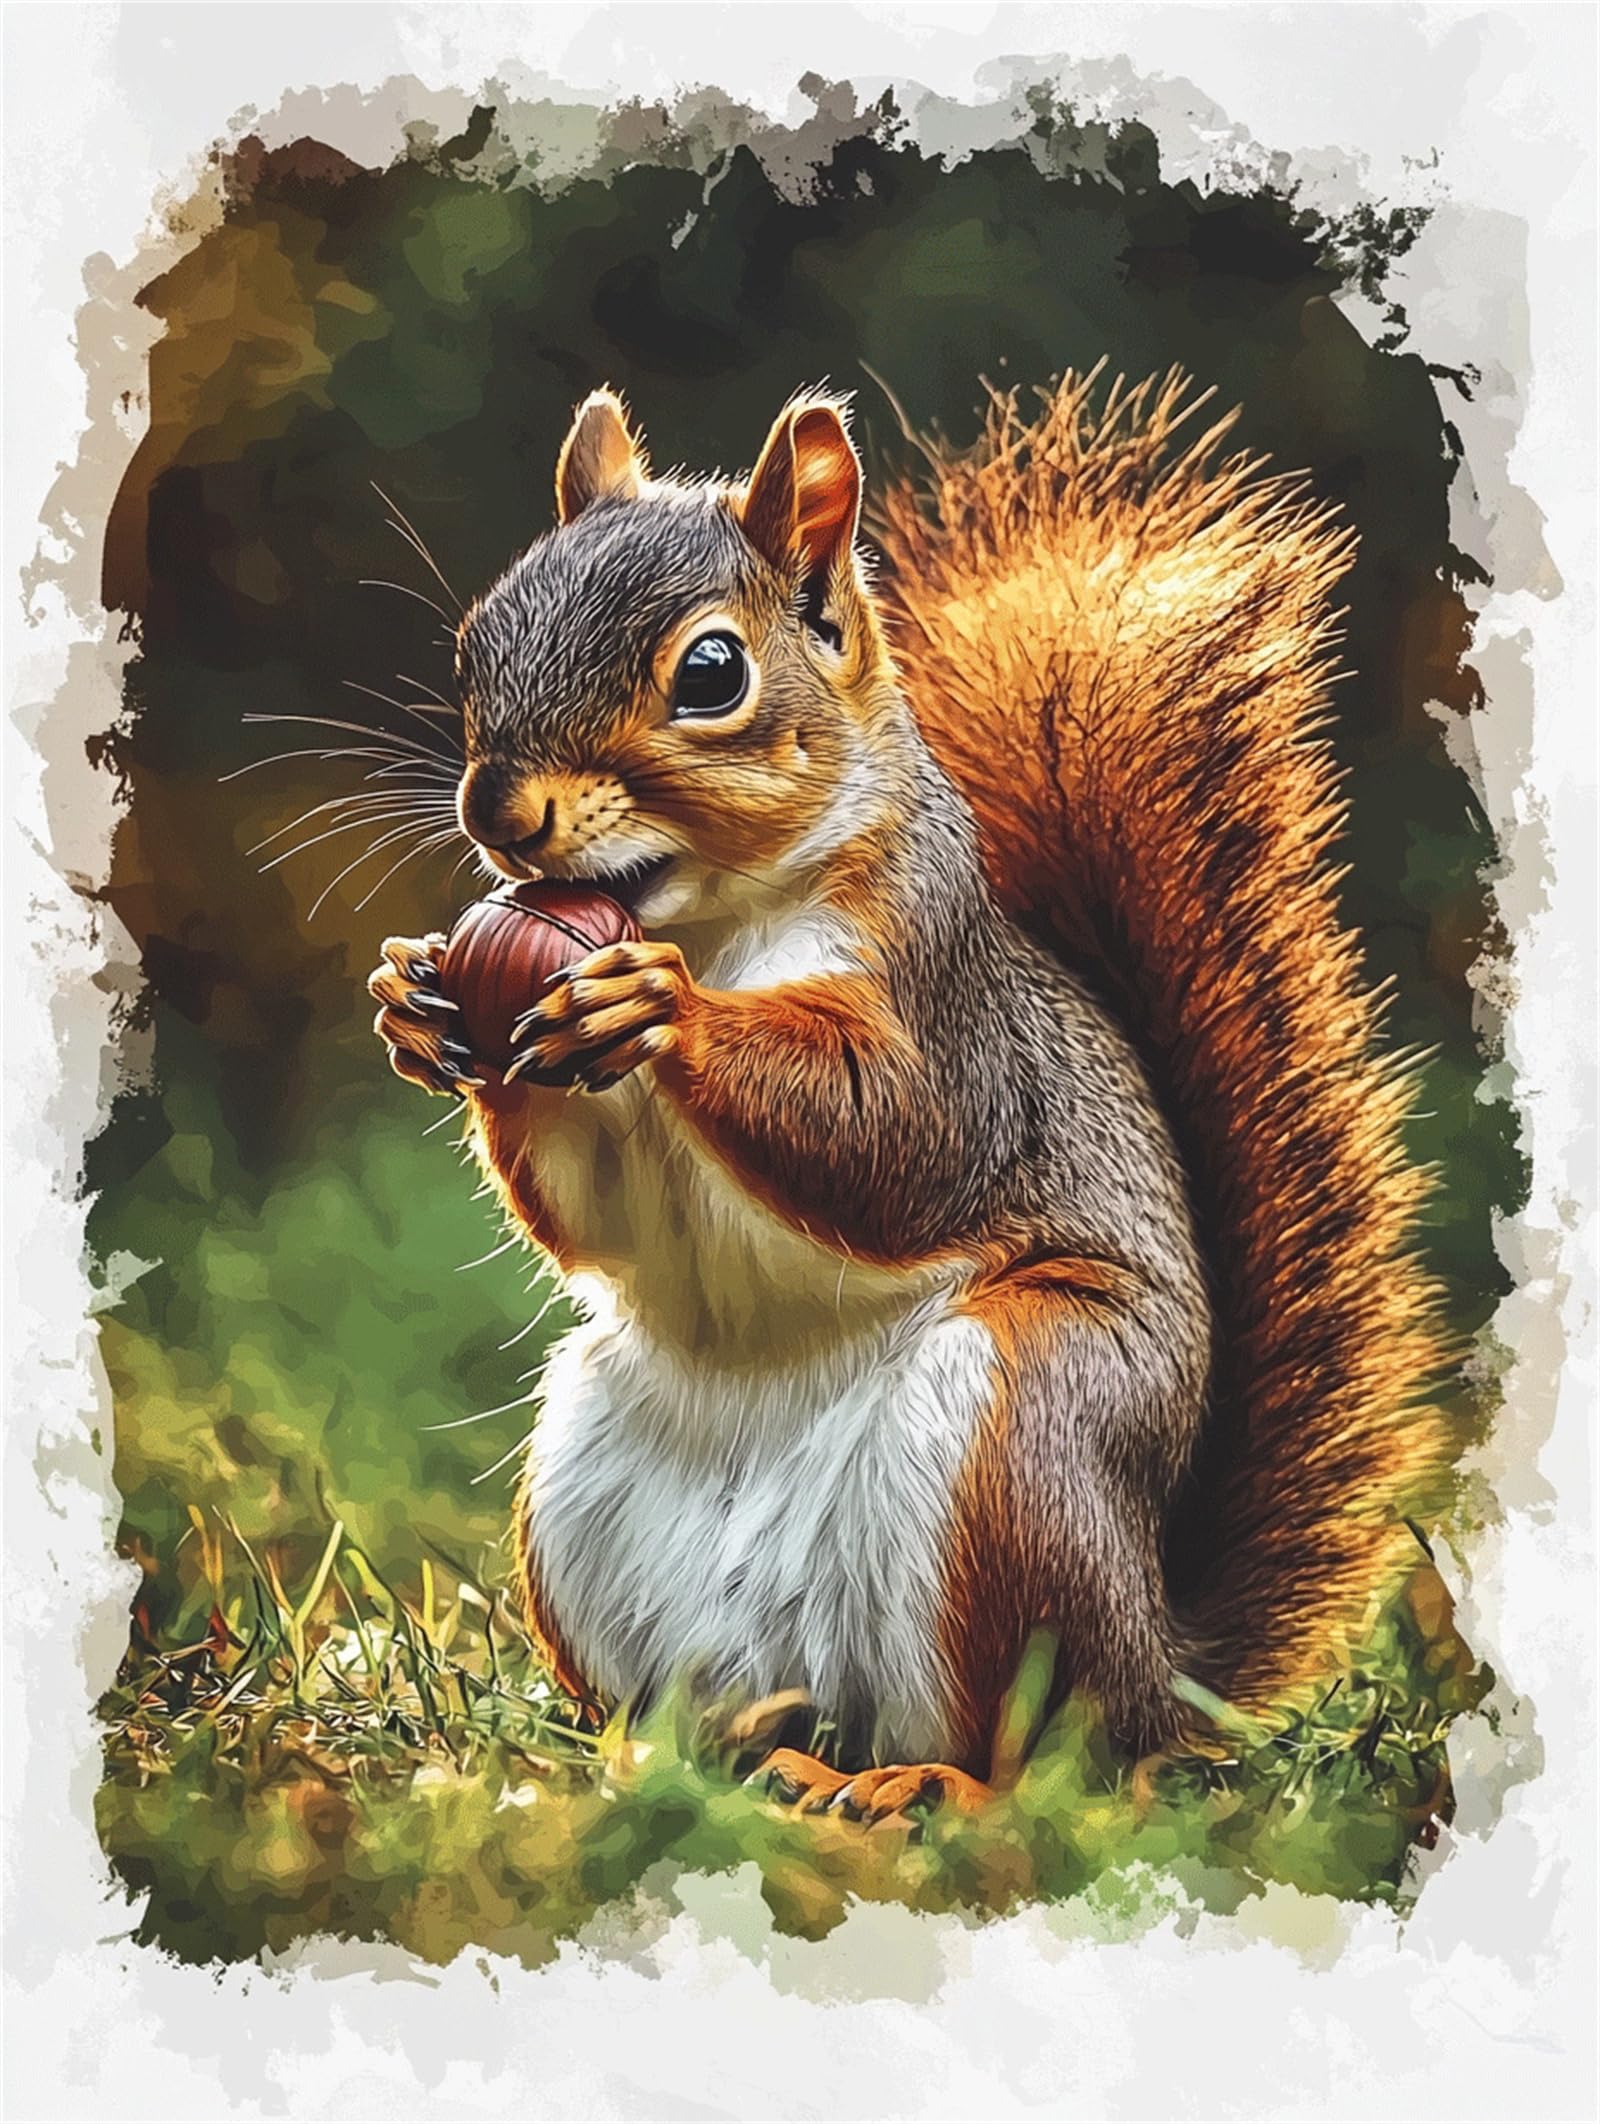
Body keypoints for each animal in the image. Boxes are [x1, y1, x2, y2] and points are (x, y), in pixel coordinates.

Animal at [367, 371, 1446, 1818]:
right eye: (477, 641)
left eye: (710, 673)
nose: (498, 812)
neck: (715, 921)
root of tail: (1170, 1669)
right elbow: (590, 1213)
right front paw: (413, 999)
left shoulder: (950, 1020)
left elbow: (893, 1140)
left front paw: (662, 1009)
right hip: (594, 1485)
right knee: (734, 1718)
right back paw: (660, 1757)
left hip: (1029, 1437)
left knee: (1059, 1762)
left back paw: (933, 1790)